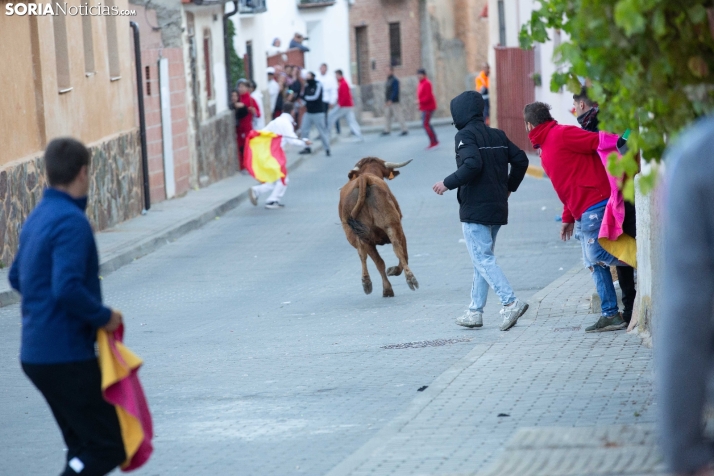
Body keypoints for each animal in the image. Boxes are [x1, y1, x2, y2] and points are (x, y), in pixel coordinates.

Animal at [338, 158, 418, 296]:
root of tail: (363, 179)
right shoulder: (400, 231)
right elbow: (403, 254)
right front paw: (393, 272)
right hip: (392, 226)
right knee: (395, 251)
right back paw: (406, 281)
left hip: (365, 234)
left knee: (367, 255)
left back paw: (368, 283)